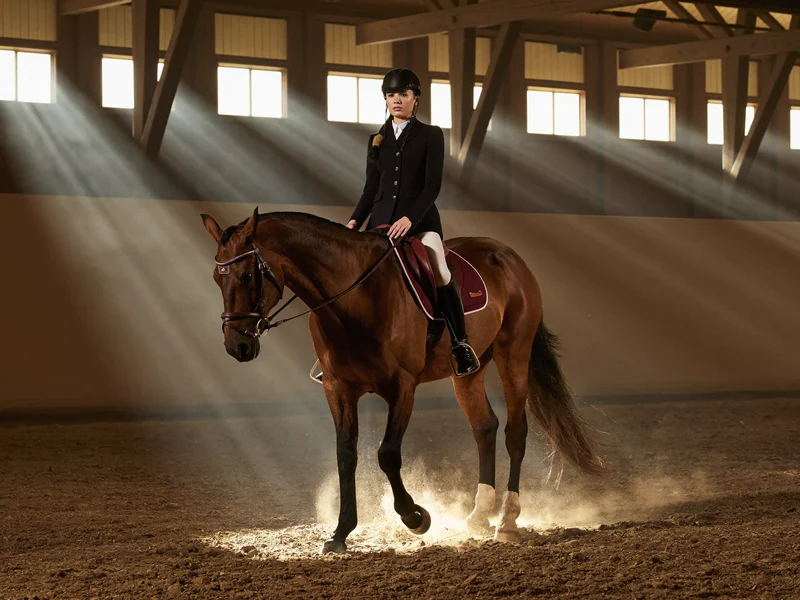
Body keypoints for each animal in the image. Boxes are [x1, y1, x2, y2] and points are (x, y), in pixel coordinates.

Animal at [201, 207, 604, 554]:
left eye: (247, 275)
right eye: (217, 278)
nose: (237, 346)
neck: (354, 298)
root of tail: (508, 255)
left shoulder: (402, 385)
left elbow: (387, 454)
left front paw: (415, 517)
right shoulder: (338, 388)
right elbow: (345, 454)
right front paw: (341, 533)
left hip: (513, 355)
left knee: (515, 432)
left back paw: (506, 521)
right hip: (469, 370)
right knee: (485, 427)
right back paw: (478, 516)